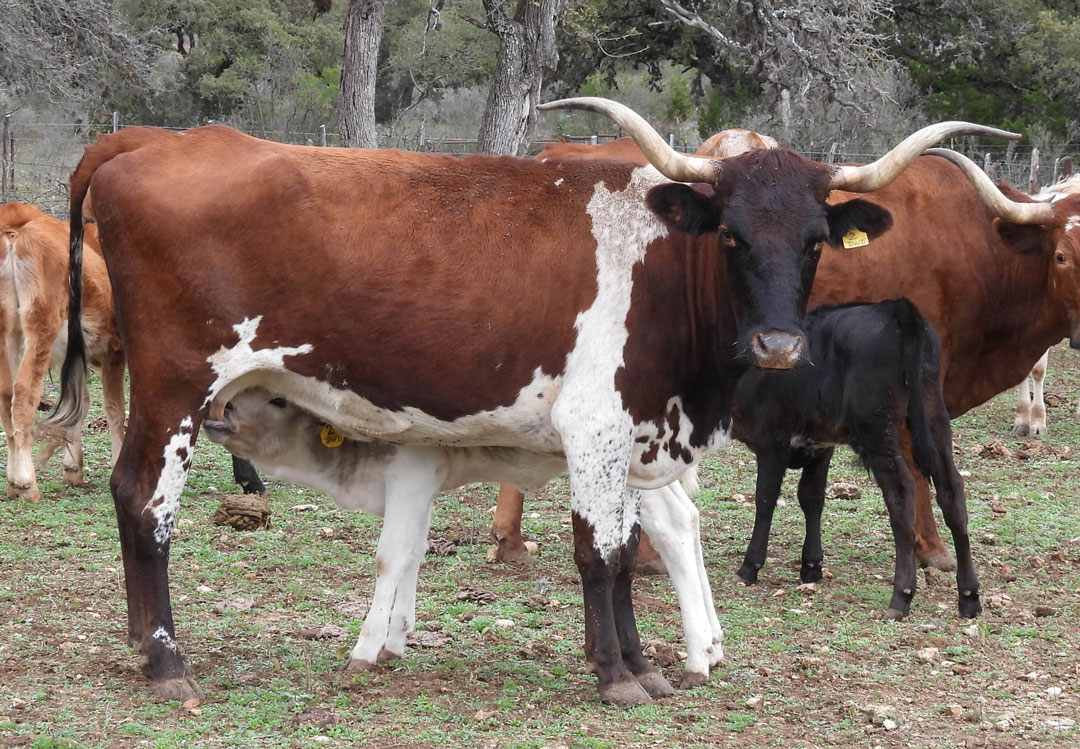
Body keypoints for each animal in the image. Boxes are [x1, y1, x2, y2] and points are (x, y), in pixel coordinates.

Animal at [0, 202, 125, 500]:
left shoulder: (77, 354)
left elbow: (79, 402)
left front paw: (72, 468)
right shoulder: (116, 350)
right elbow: (115, 409)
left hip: (7, 328)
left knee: (5, 393)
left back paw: (12, 482)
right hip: (41, 323)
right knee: (23, 393)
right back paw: (26, 482)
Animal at [734, 300, 980, 621]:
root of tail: (895, 309)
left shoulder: (771, 439)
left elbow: (765, 499)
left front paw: (750, 566)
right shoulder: (819, 444)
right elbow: (812, 498)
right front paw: (811, 567)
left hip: (878, 430)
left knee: (902, 494)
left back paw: (901, 596)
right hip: (934, 415)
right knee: (951, 490)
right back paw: (969, 597)